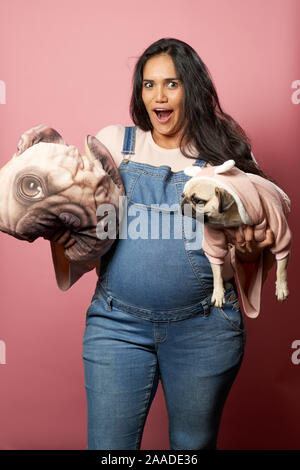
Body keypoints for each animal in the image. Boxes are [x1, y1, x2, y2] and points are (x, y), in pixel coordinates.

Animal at [180, 160, 290, 310]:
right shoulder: (214, 238)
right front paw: (218, 292)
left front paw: (281, 288)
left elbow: (282, 267)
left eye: (198, 200)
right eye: (183, 196)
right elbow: (216, 270)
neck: (230, 217)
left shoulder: (279, 232)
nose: (183, 202)